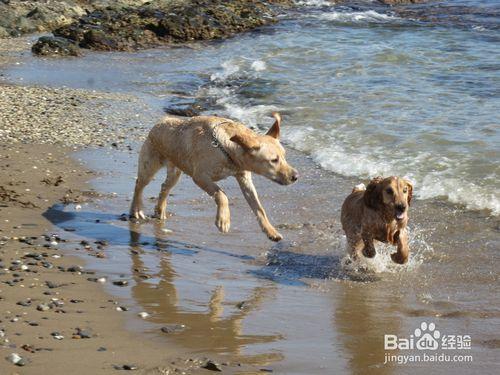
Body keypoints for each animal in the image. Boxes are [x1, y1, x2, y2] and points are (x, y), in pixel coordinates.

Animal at [131, 112, 298, 241]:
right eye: (273, 160)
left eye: (284, 156)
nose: (295, 176)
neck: (226, 150)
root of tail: (159, 123)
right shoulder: (200, 176)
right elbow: (221, 194)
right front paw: (223, 220)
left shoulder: (244, 179)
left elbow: (259, 208)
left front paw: (271, 231)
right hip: (149, 165)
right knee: (139, 184)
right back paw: (136, 210)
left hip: (175, 171)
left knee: (164, 187)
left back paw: (160, 210)